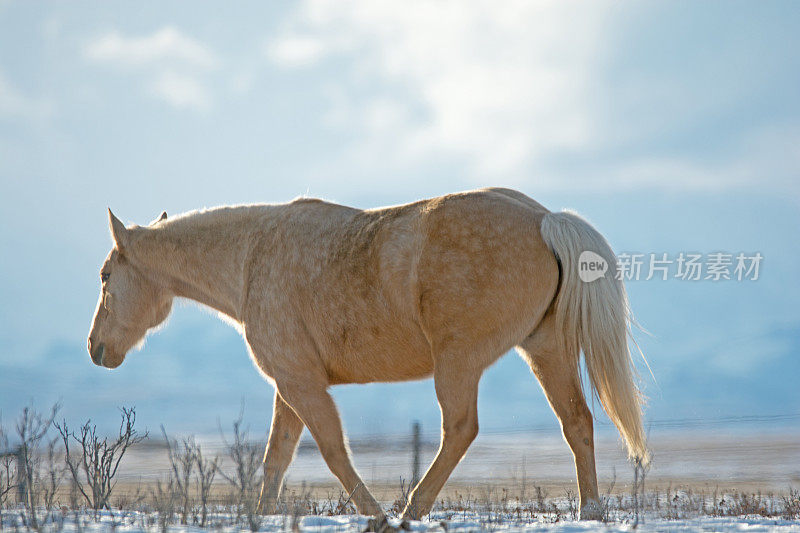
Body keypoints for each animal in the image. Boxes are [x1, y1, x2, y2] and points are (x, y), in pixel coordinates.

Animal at [87, 188, 648, 520]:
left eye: (106, 275)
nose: (96, 347)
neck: (252, 258)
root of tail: (544, 219)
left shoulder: (301, 382)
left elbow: (332, 451)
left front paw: (375, 515)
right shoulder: (290, 385)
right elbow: (276, 459)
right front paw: (263, 516)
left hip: (459, 363)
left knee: (460, 430)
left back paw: (410, 511)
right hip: (544, 351)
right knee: (576, 421)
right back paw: (590, 513)